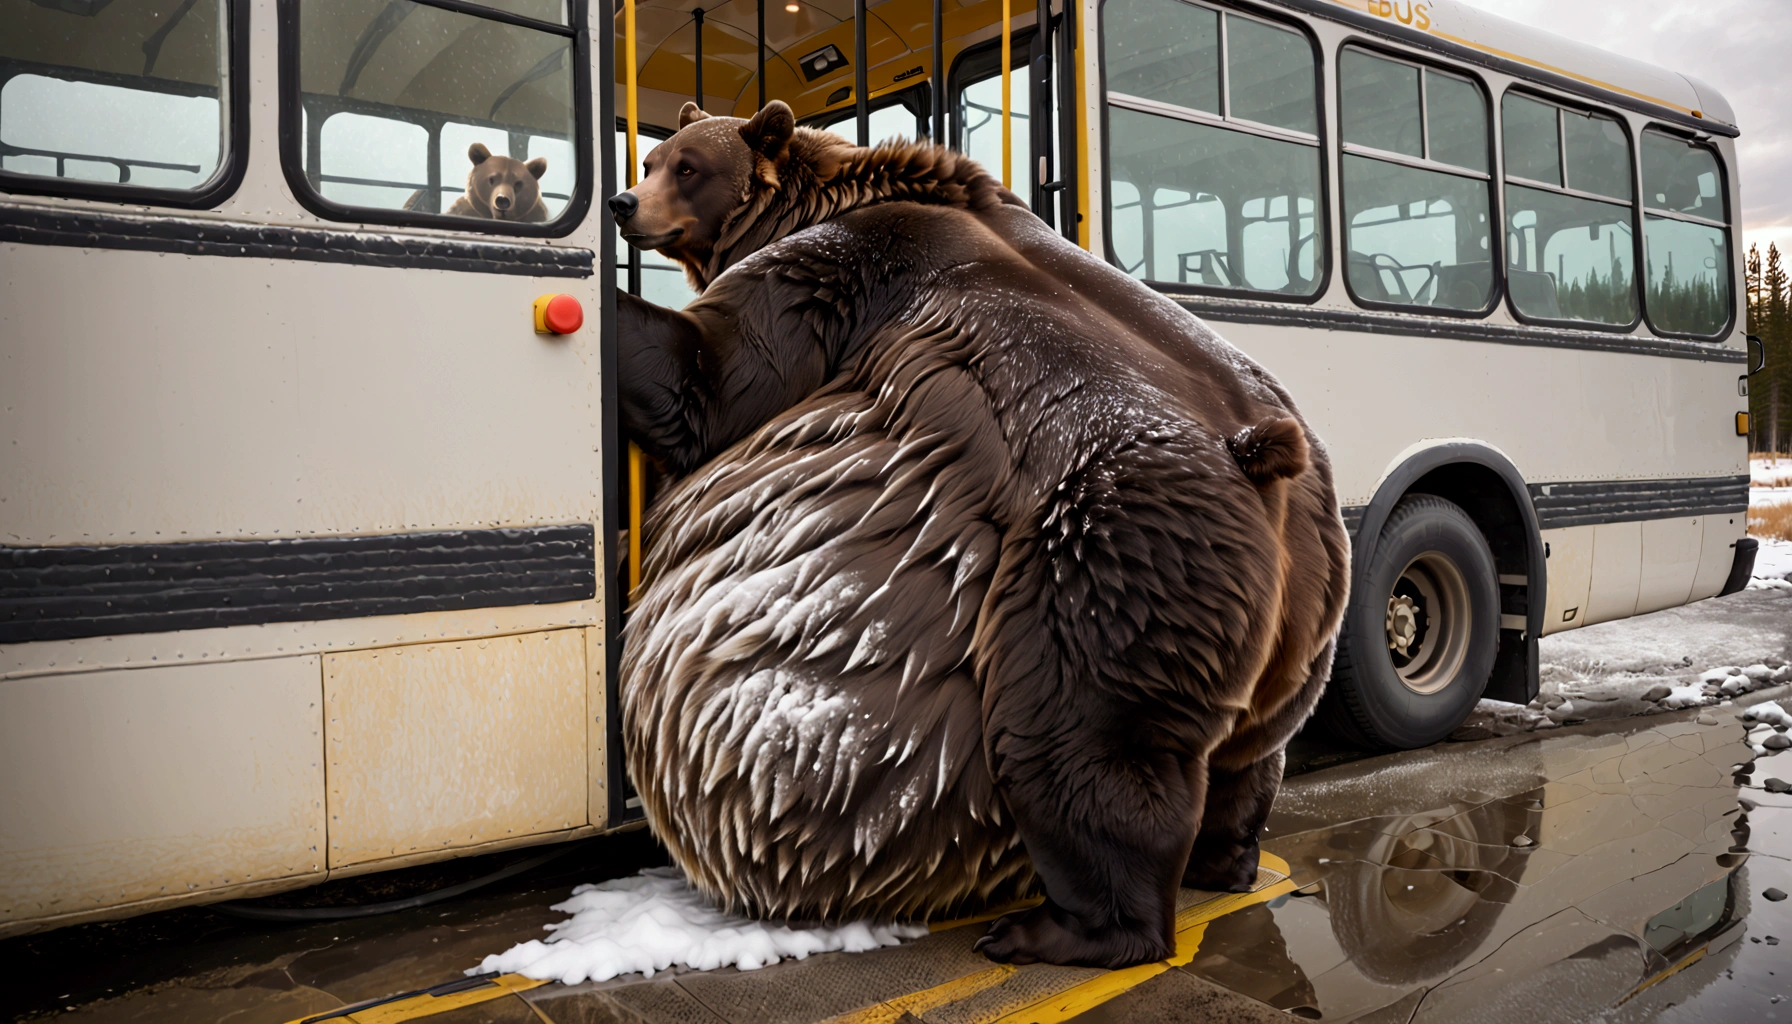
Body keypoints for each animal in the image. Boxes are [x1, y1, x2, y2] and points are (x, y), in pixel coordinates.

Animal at [612, 102, 1347, 968]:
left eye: (686, 166)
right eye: (655, 158)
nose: (625, 202)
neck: (819, 200)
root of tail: (1268, 466)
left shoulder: (832, 282)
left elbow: (711, 381)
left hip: (1111, 549)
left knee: (1074, 743)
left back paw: (1053, 928)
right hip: (1305, 609)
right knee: (1252, 753)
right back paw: (1225, 860)